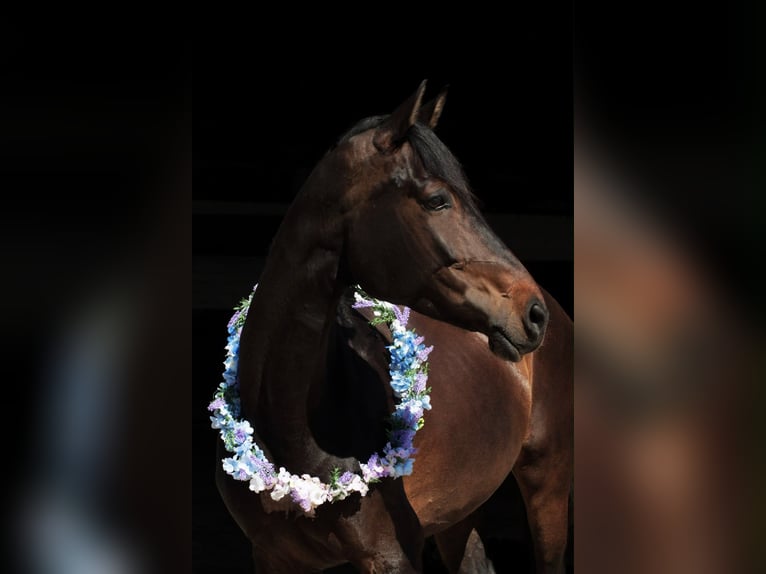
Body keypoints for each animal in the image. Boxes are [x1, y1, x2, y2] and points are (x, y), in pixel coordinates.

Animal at [214, 80, 573, 573]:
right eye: (437, 200)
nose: (534, 313)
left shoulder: (391, 556)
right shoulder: (273, 557)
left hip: (547, 485)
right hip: (458, 513)